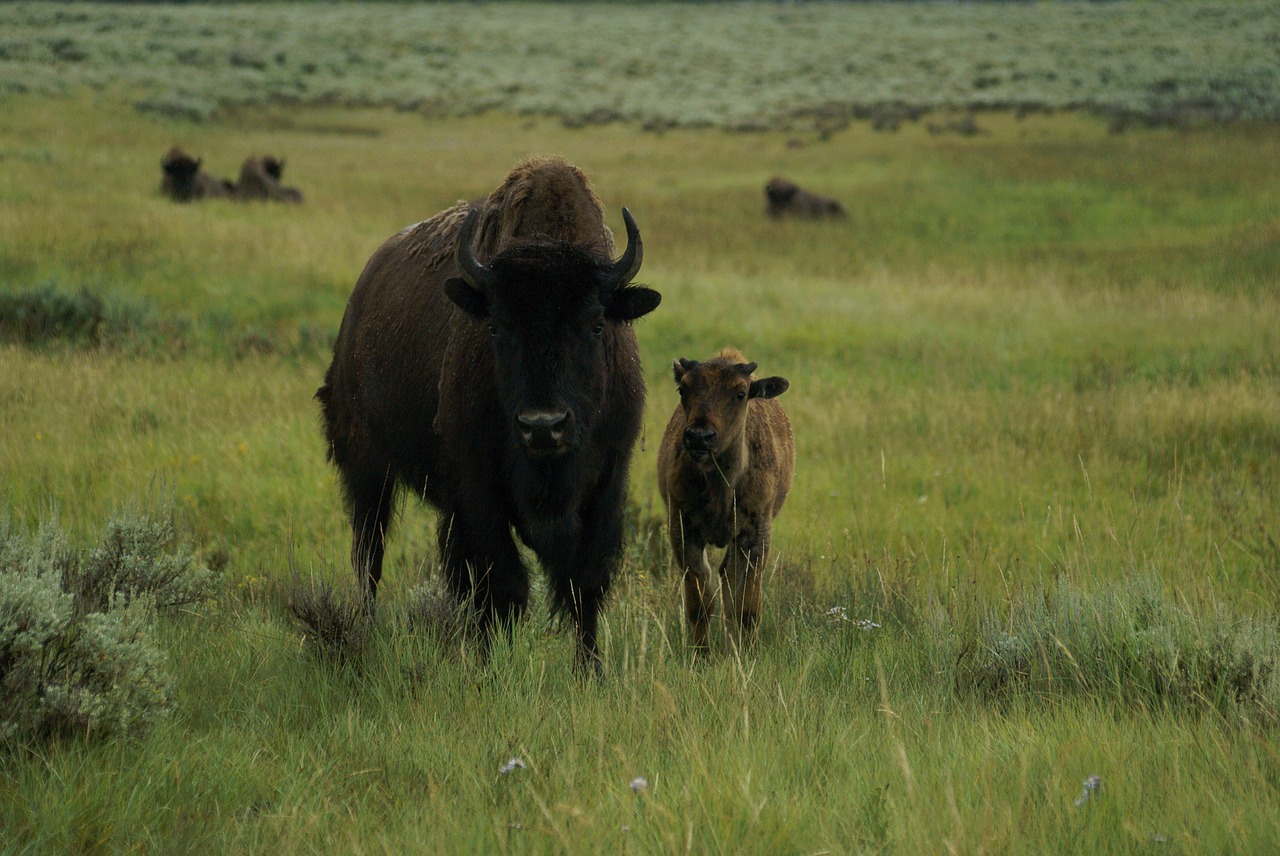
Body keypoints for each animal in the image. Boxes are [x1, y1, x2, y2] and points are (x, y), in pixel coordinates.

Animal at [317, 156, 660, 670]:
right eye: (496, 326)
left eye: (597, 324)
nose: (543, 427)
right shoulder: (479, 487)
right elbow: (503, 584)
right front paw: (489, 667)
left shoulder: (609, 481)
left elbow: (585, 584)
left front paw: (590, 671)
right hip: (366, 467)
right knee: (369, 555)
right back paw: (366, 629)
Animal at [660, 348, 788, 647]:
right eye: (683, 388)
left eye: (740, 393)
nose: (699, 437)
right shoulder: (683, 530)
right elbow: (699, 603)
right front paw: (700, 654)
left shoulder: (755, 535)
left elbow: (747, 607)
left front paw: (747, 652)